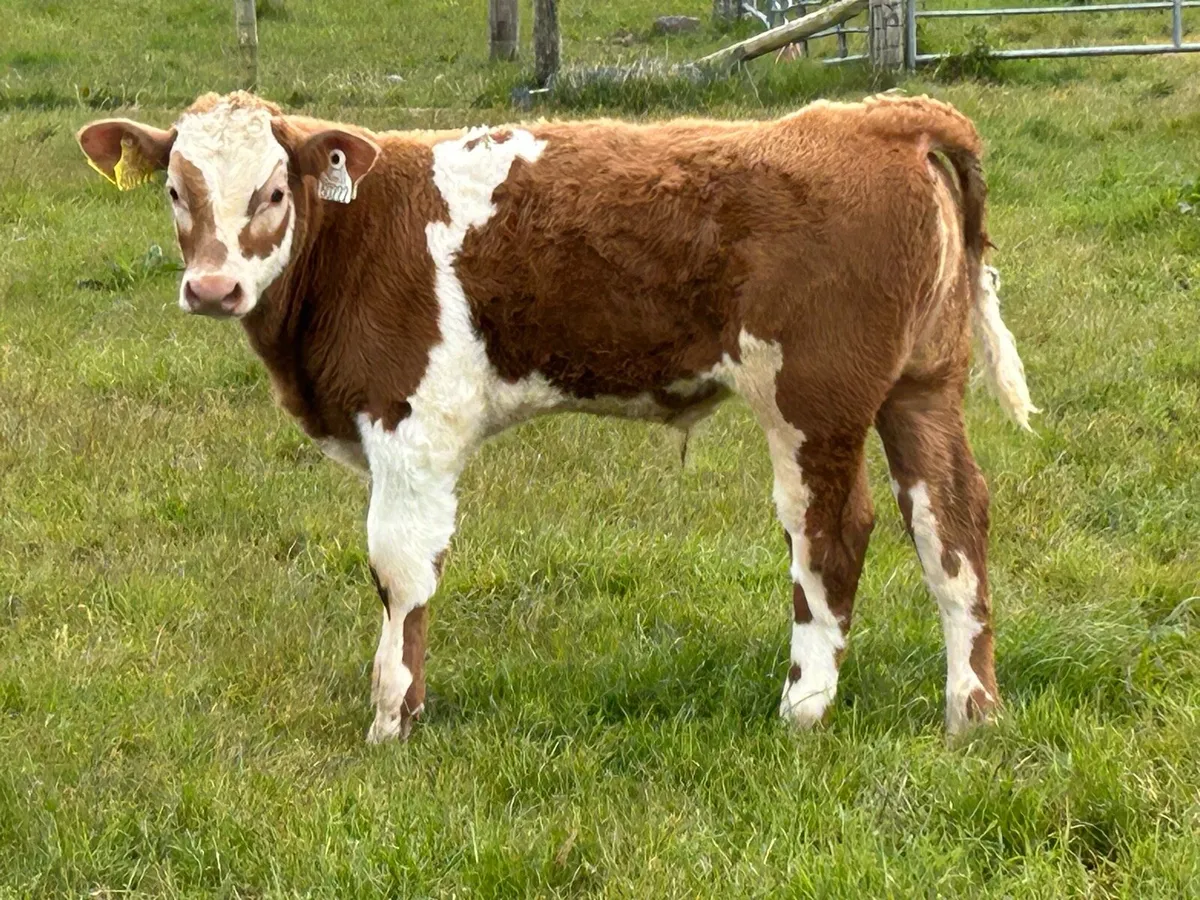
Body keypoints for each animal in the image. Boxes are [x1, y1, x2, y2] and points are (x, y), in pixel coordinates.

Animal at [78, 91, 1037, 743]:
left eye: (274, 192)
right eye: (174, 191)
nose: (212, 288)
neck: (359, 235)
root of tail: (881, 116)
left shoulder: (410, 423)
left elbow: (399, 568)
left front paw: (391, 719)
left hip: (815, 399)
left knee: (833, 534)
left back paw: (803, 709)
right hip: (922, 386)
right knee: (952, 520)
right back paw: (972, 710)